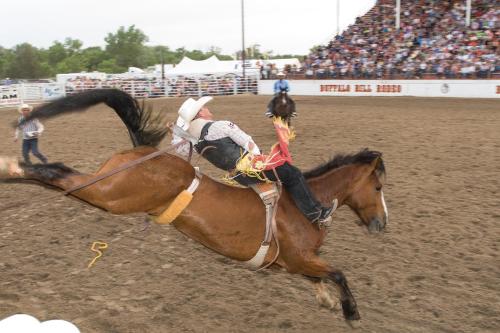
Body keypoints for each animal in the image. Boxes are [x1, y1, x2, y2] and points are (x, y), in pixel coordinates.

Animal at [1, 89, 388, 322]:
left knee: (60, 177)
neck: (304, 204)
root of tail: (143, 150)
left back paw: (11, 172)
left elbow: (320, 277)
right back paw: (12, 166)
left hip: (104, 193)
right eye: (379, 186)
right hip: (110, 193)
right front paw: (350, 310)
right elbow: (338, 273)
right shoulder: (300, 257)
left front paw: (328, 301)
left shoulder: (292, 262)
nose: (382, 224)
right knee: (62, 173)